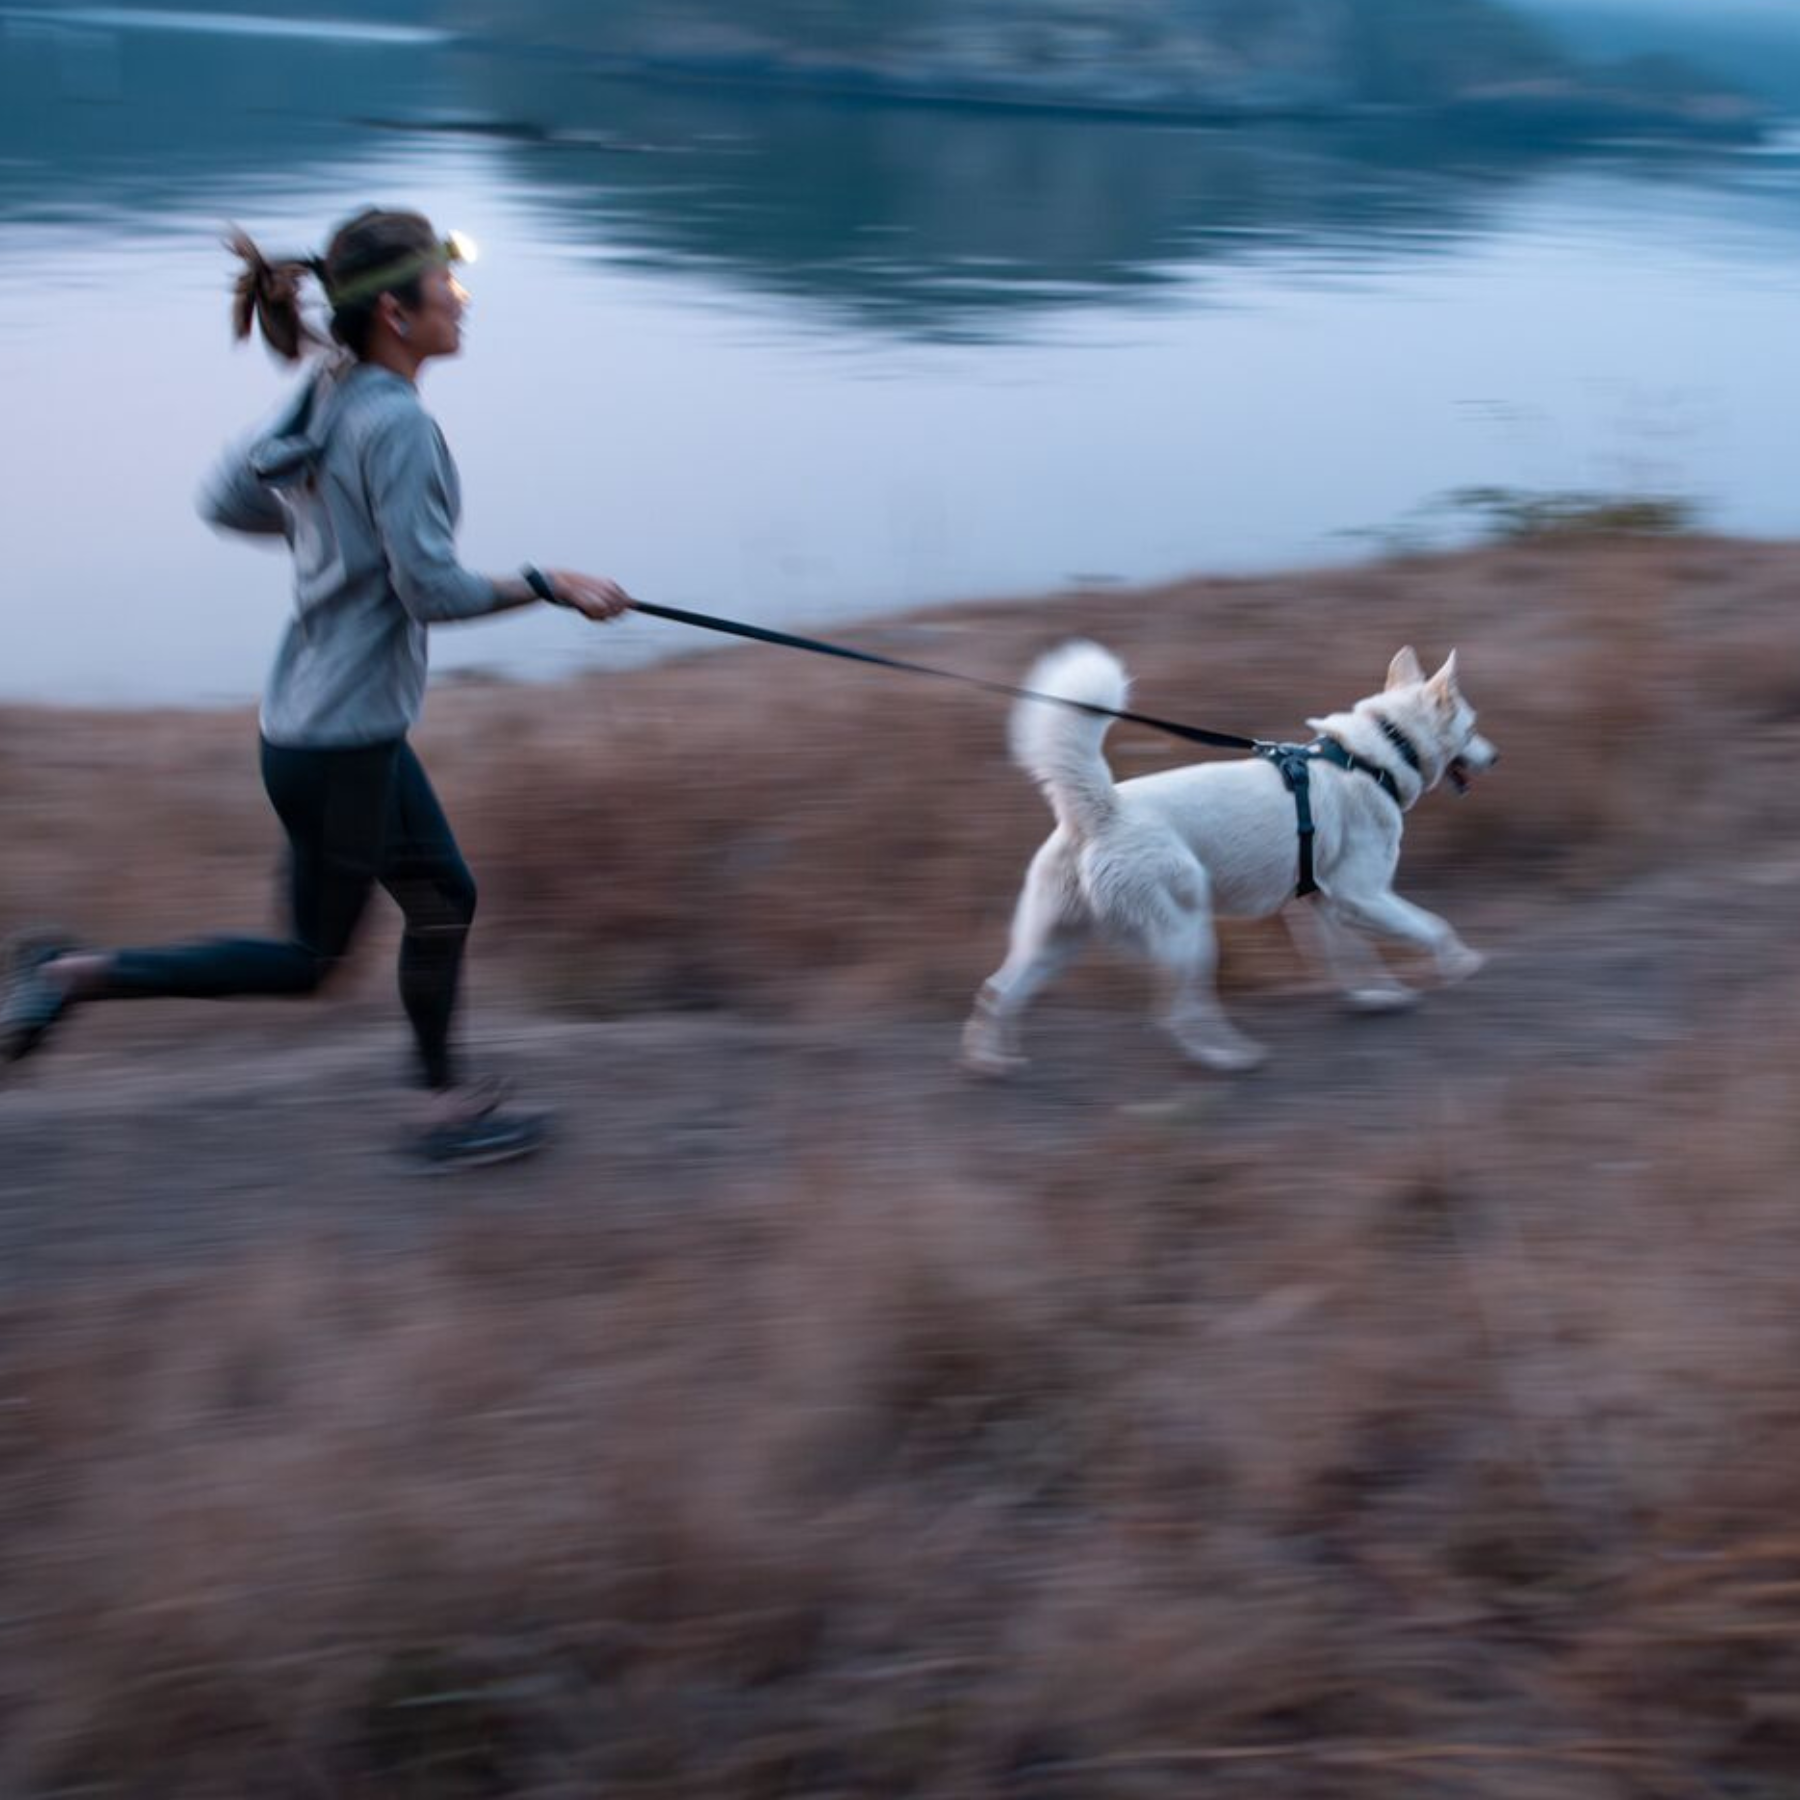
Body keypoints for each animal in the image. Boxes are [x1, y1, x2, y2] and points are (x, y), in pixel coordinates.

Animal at [964, 644, 1497, 1072]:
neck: (1374, 757)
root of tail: (1100, 812)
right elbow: (1431, 926)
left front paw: (1375, 996)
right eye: (1472, 729)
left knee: (998, 991)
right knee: (1176, 1015)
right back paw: (1228, 1056)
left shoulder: (1322, 903)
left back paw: (992, 1062)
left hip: (1054, 942)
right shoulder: (1363, 895)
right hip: (1188, 934)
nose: (1497, 758)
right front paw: (1462, 963)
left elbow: (1349, 955)